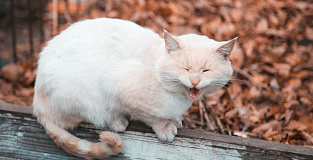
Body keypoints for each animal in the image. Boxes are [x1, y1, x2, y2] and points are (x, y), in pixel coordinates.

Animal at [32, 17, 236, 159]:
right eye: (185, 68)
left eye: (205, 70)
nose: (194, 81)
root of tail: (37, 104)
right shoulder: (120, 86)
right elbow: (150, 116)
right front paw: (165, 127)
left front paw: (175, 119)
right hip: (83, 97)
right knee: (85, 118)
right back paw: (116, 121)